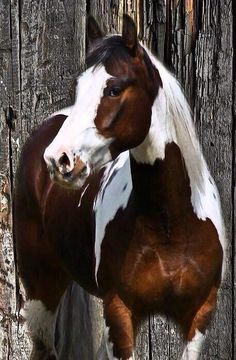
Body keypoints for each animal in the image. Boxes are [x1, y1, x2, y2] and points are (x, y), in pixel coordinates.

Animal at [14, 14, 225, 360]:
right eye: (78, 87)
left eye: (113, 89)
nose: (58, 160)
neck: (170, 222)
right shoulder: (119, 313)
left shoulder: (199, 316)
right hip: (39, 291)